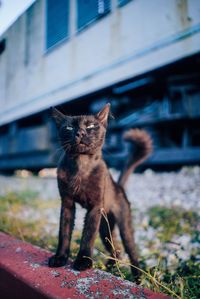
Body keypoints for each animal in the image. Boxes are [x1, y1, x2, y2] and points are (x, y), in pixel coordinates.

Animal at [48, 103, 152, 282]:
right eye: (69, 127)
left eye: (91, 126)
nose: (80, 132)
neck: (81, 166)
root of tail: (118, 186)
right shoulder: (67, 204)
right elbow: (64, 233)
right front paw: (60, 258)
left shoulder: (95, 207)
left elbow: (88, 236)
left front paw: (83, 261)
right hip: (105, 228)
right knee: (117, 250)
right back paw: (110, 267)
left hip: (123, 225)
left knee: (131, 252)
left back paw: (137, 277)